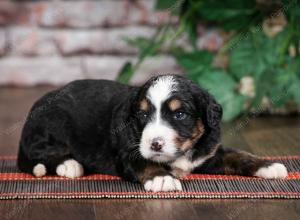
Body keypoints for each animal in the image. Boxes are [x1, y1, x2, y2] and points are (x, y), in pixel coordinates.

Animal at [17, 75, 288, 192]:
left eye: (180, 115)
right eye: (142, 115)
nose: (155, 144)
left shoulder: (210, 152)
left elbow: (238, 155)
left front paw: (268, 165)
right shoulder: (128, 152)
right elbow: (144, 163)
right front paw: (162, 179)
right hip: (52, 125)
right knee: (39, 155)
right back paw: (70, 165)